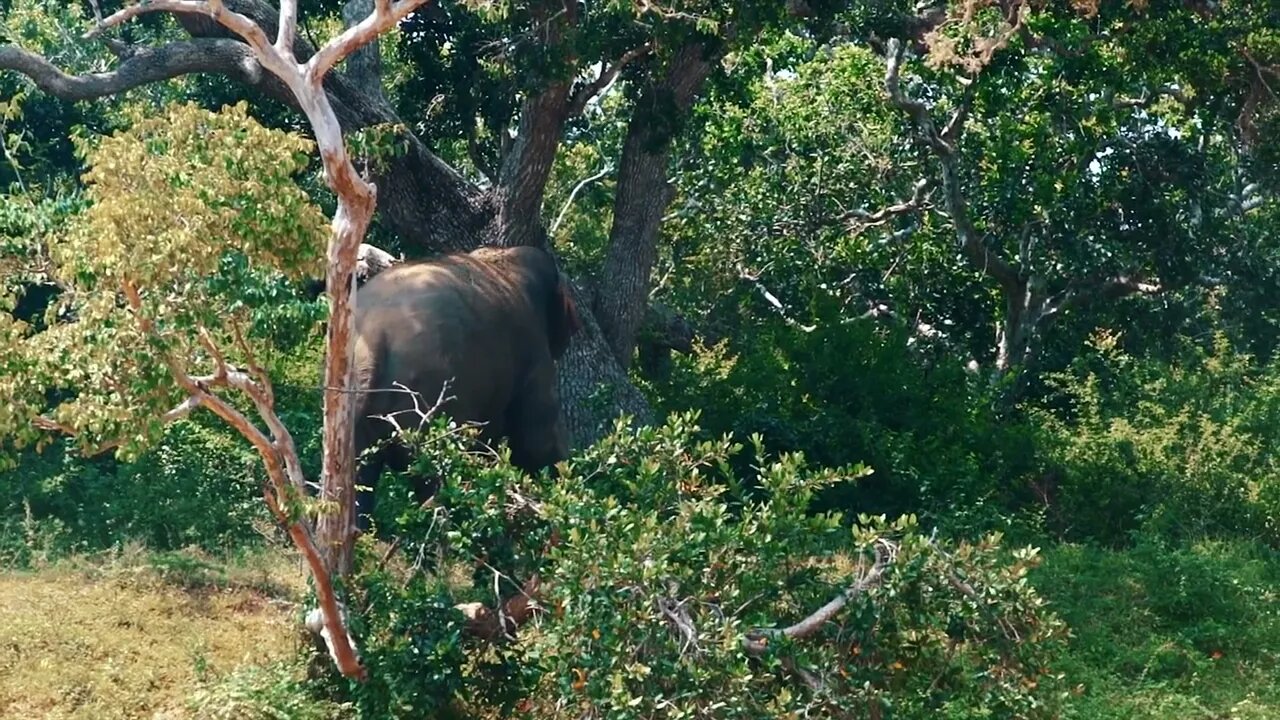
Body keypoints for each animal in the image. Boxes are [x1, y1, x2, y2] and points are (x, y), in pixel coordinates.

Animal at [348, 243, 583, 530]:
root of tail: (373, 339)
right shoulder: (533, 350)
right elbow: (535, 437)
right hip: (428, 394)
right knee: (434, 476)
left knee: (360, 476)